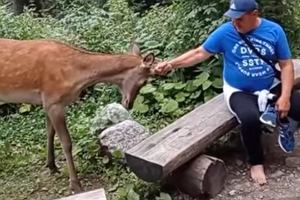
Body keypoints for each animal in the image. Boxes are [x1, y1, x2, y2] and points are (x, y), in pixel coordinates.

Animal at [0, 38, 156, 193]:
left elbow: (49, 133)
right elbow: (66, 143)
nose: (129, 104)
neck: (76, 75)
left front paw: (51, 166)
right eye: (144, 81)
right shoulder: (53, 100)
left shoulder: (47, 102)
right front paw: (75, 185)